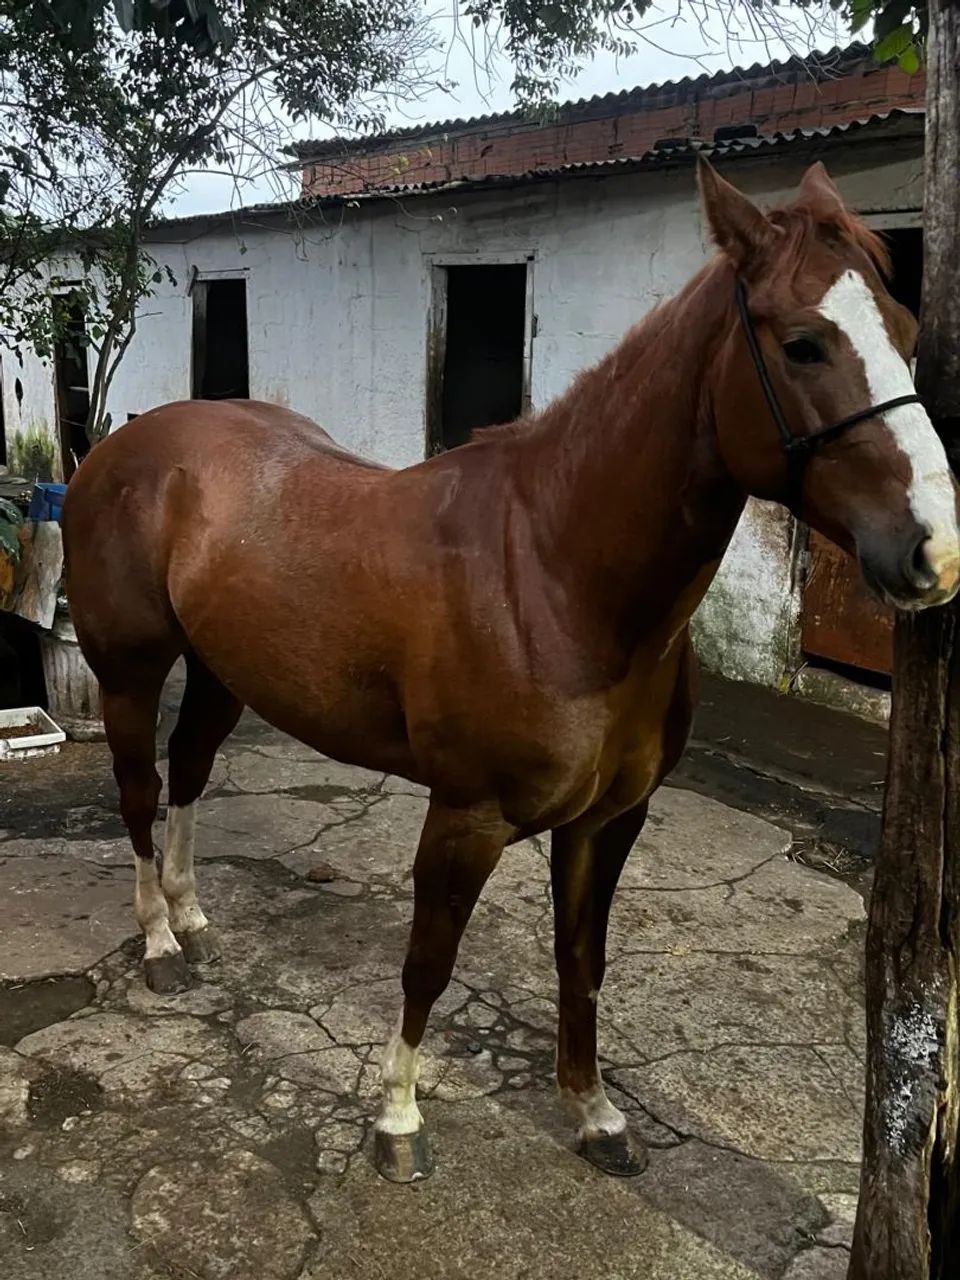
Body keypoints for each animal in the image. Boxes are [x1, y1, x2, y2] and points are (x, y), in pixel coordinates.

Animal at [62, 160, 960, 1183]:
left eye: (905, 330)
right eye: (805, 344)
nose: (935, 552)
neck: (555, 575)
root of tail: (124, 442)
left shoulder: (609, 820)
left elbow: (582, 960)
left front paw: (596, 1115)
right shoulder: (468, 815)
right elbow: (428, 960)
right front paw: (398, 1121)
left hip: (224, 673)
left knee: (190, 772)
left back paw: (193, 914)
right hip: (130, 672)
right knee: (139, 790)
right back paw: (160, 940)